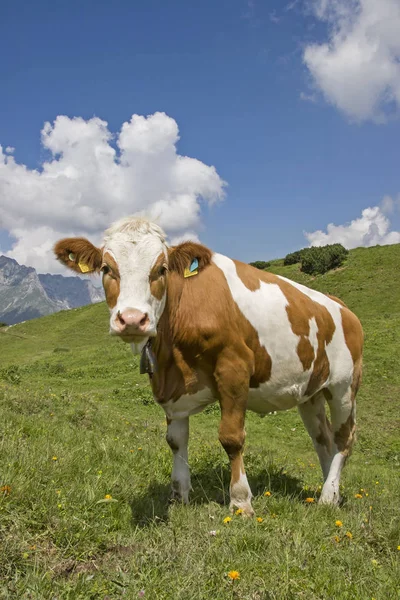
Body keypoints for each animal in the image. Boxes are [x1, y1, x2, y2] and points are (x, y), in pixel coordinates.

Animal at [53, 217, 362, 516]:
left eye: (162, 269)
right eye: (106, 268)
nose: (131, 319)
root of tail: (343, 307)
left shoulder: (233, 368)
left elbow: (231, 438)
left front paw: (241, 501)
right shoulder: (170, 387)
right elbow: (176, 440)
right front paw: (179, 496)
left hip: (344, 386)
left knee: (344, 438)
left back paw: (327, 498)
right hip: (310, 391)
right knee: (322, 438)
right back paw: (330, 491)